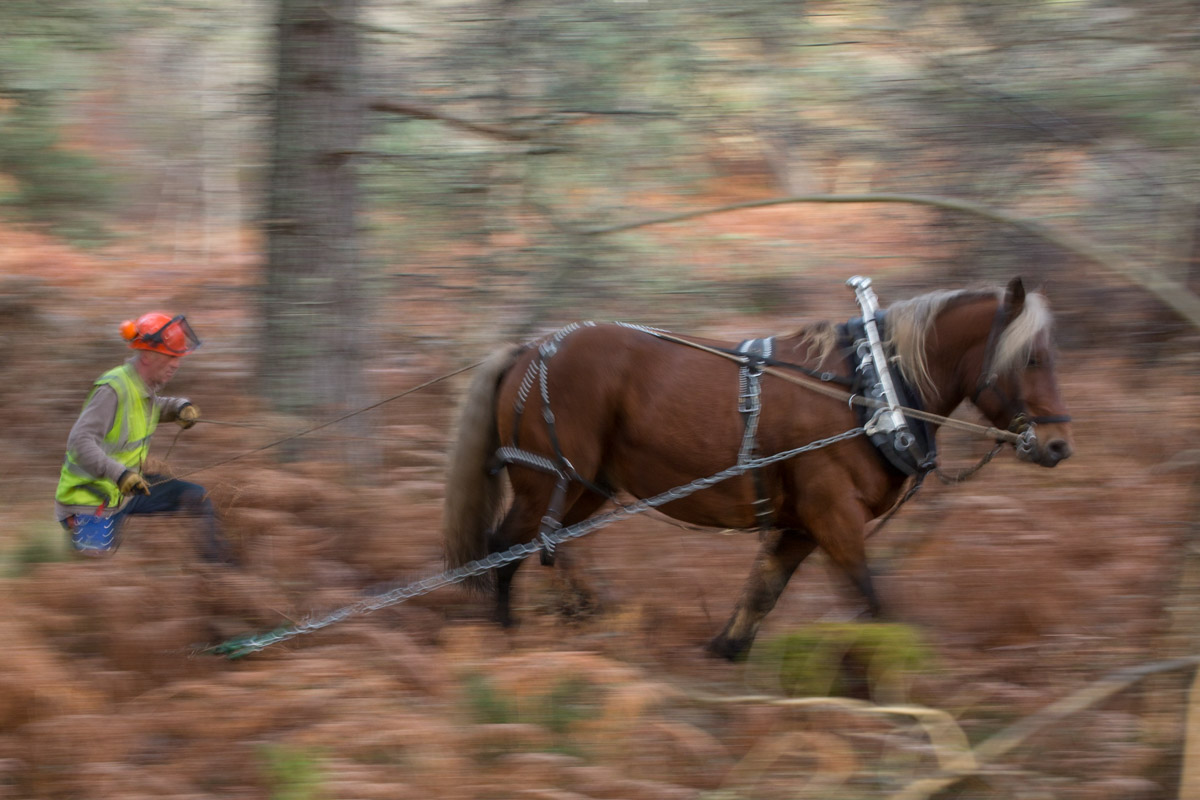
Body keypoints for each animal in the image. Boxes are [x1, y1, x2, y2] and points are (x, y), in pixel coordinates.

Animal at [444, 278, 1080, 662]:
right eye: (1030, 358)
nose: (1057, 445)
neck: (870, 389)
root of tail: (530, 349)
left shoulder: (802, 526)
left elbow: (762, 594)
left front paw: (723, 654)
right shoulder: (834, 517)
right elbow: (872, 603)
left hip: (587, 488)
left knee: (543, 547)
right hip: (548, 481)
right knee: (504, 547)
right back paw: (506, 637)